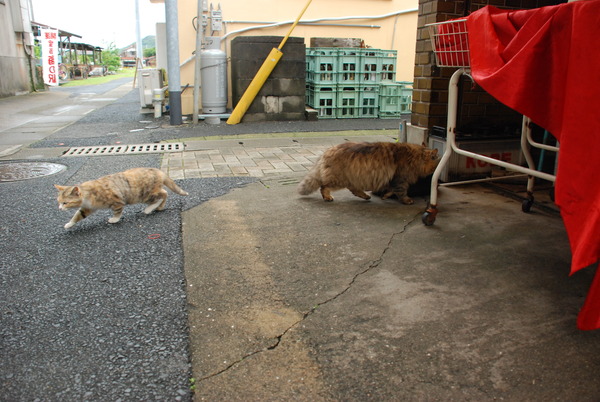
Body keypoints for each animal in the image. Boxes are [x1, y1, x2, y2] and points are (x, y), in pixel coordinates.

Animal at [56, 167, 189, 229]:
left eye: (65, 203)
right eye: (59, 202)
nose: (59, 208)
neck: (88, 195)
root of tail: (158, 171)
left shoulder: (117, 201)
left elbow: (117, 212)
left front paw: (114, 219)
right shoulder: (88, 207)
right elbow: (78, 215)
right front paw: (69, 224)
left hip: (144, 194)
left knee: (162, 195)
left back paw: (149, 209)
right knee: (164, 193)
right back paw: (159, 207)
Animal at [298, 141, 438, 204]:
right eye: (436, 164)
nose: (436, 172)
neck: (415, 156)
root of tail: (327, 151)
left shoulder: (393, 180)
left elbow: (390, 190)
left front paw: (385, 196)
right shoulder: (400, 179)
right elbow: (401, 192)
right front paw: (407, 200)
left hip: (351, 179)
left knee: (354, 189)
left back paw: (365, 196)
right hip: (338, 179)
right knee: (324, 187)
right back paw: (327, 197)